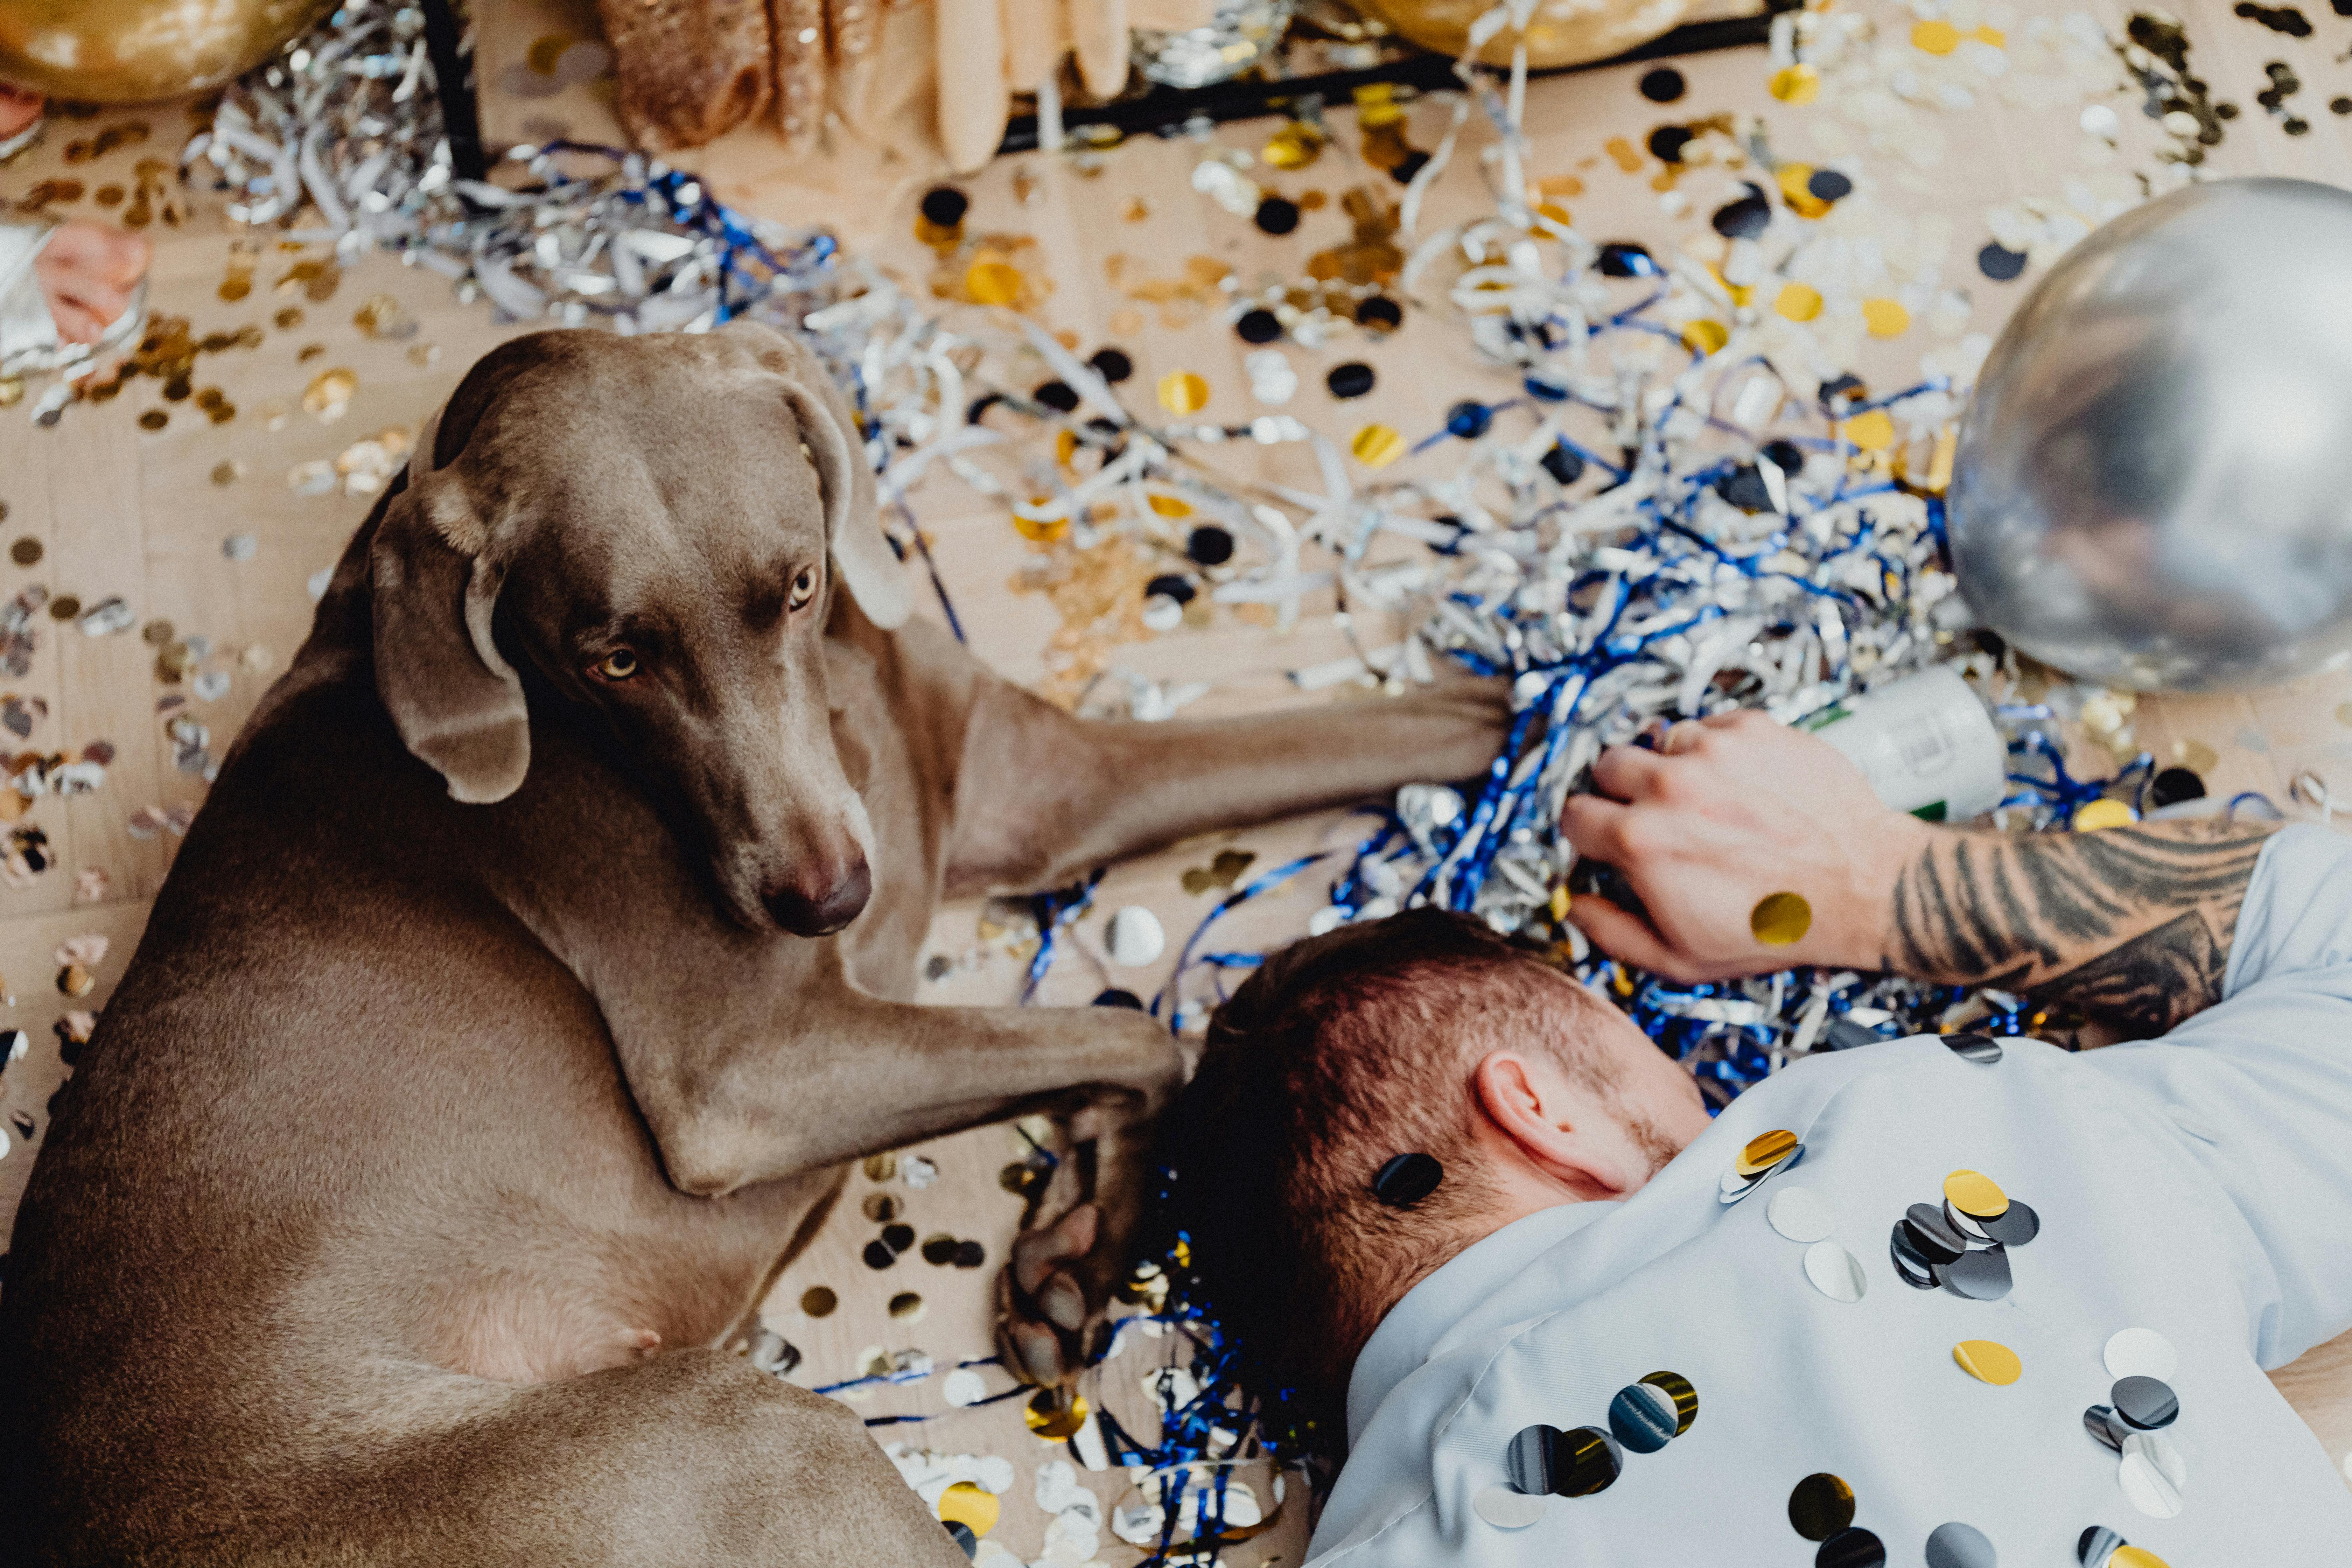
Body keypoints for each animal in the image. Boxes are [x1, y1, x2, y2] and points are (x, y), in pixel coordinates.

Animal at [0, 324, 1505, 1561]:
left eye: (797, 585)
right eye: (612, 657)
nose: (826, 898)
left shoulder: (1035, 783)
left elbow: (1392, 732)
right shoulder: (751, 1075)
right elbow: (1133, 1033)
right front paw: (1086, 1224)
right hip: (739, 1433)